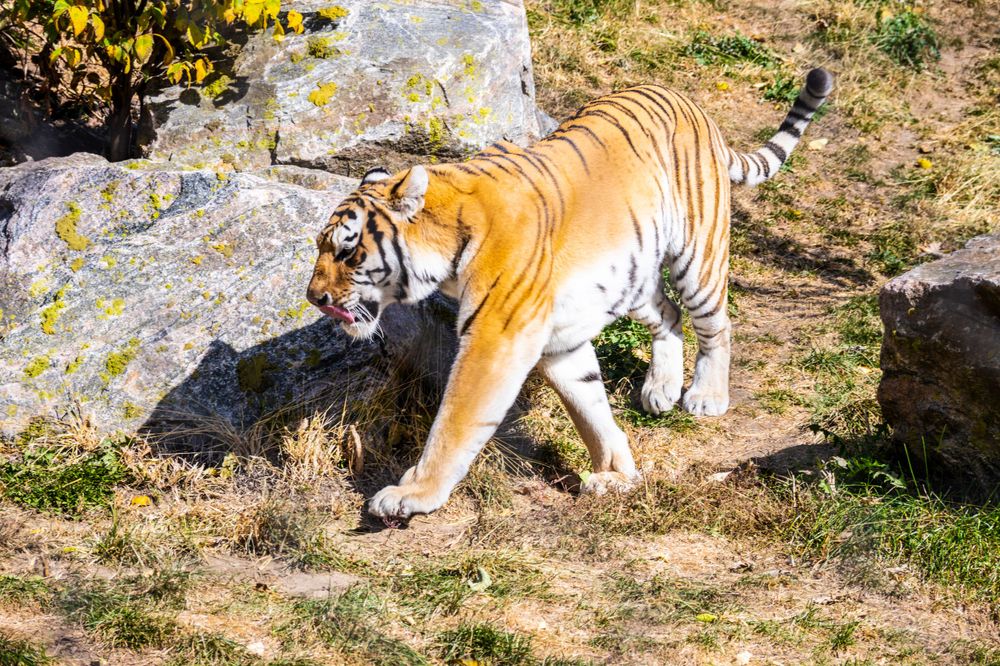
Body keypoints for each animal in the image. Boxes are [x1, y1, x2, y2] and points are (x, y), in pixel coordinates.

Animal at [306, 68, 833, 520]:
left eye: (348, 252)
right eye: (320, 247)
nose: (314, 298)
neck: (448, 246)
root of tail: (688, 100)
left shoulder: (495, 339)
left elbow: (455, 422)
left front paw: (411, 494)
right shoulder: (559, 340)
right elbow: (590, 409)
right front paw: (616, 474)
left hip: (697, 256)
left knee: (716, 323)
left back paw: (706, 395)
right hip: (632, 283)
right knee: (669, 315)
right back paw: (660, 389)